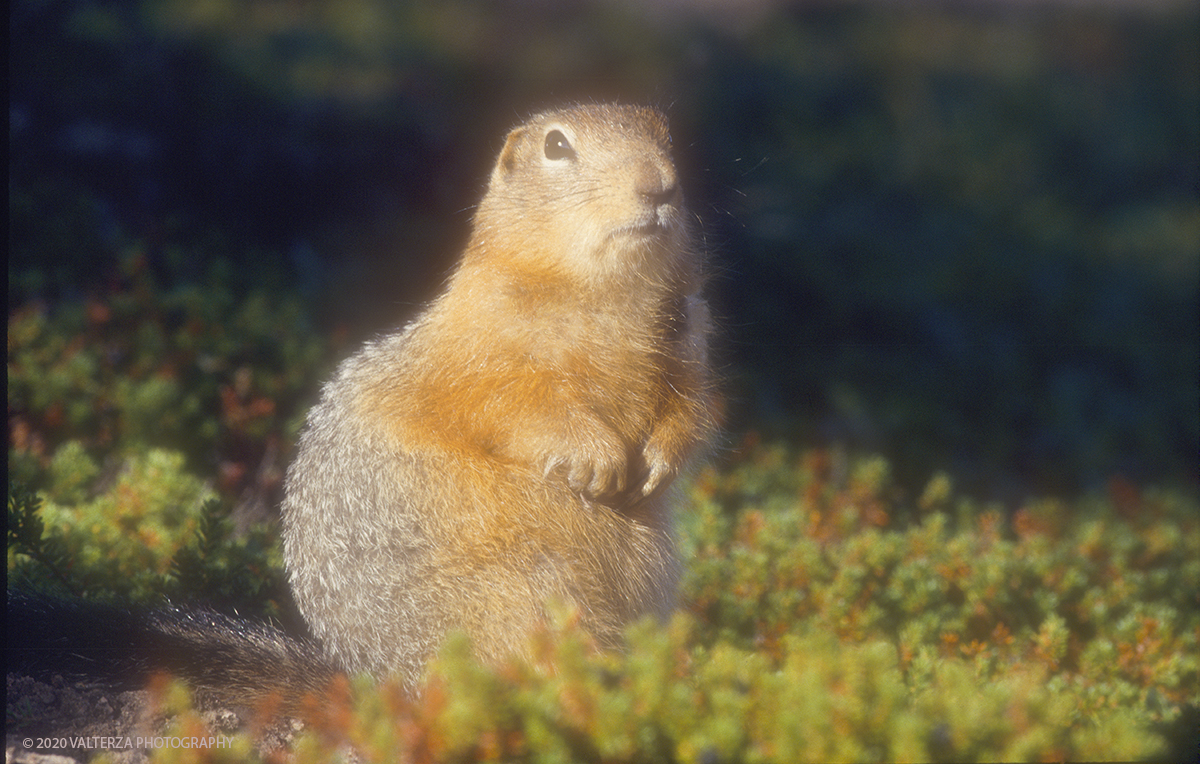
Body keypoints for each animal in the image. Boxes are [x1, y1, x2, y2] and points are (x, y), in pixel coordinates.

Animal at [280, 101, 715, 690]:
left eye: (665, 134)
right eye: (557, 146)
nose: (659, 184)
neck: (607, 293)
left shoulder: (689, 333)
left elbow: (692, 401)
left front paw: (660, 461)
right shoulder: (486, 352)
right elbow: (520, 403)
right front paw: (596, 459)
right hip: (525, 590)